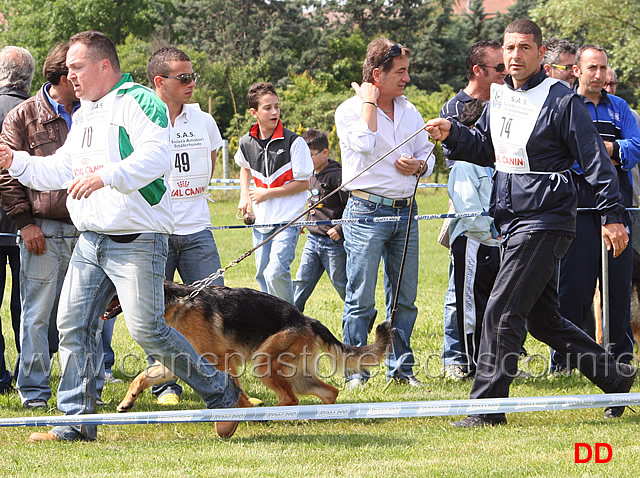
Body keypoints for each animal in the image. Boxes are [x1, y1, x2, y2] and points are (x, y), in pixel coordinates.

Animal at [114, 282, 390, 412]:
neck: (176, 303)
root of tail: (307, 319)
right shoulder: (180, 362)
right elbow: (141, 378)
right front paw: (128, 401)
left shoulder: (223, 358)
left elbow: (234, 387)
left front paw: (244, 408)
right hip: (297, 374)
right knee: (328, 392)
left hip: (263, 364)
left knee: (291, 398)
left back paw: (270, 412)